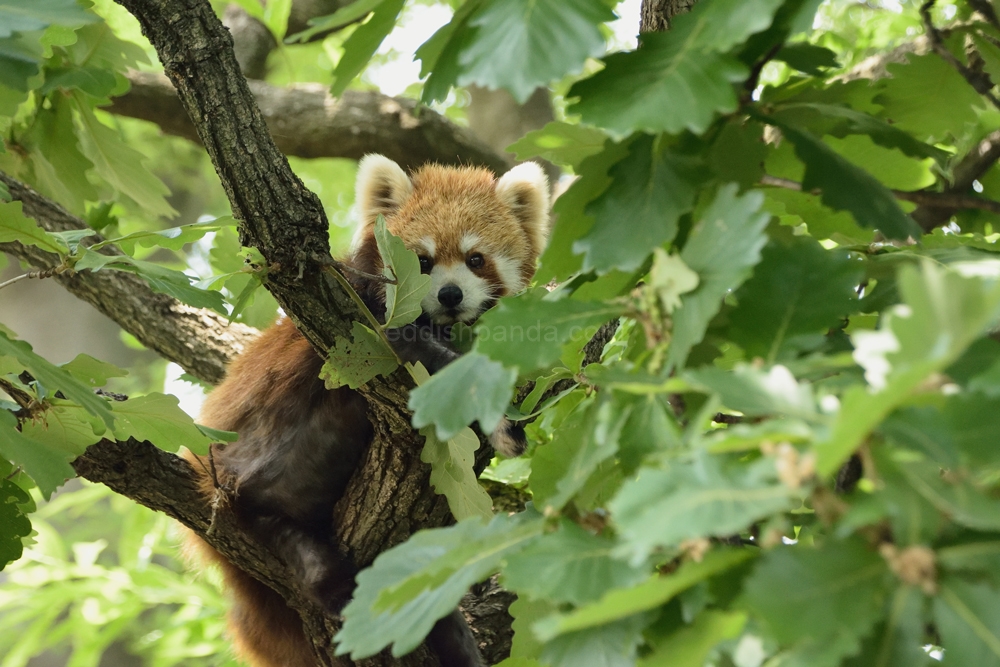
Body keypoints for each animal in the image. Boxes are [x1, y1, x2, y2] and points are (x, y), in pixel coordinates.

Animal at [186, 155, 548, 667]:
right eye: (422, 262)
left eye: (476, 259)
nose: (450, 295)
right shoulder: (364, 316)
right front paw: (500, 420)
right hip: (240, 491)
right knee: (303, 555)